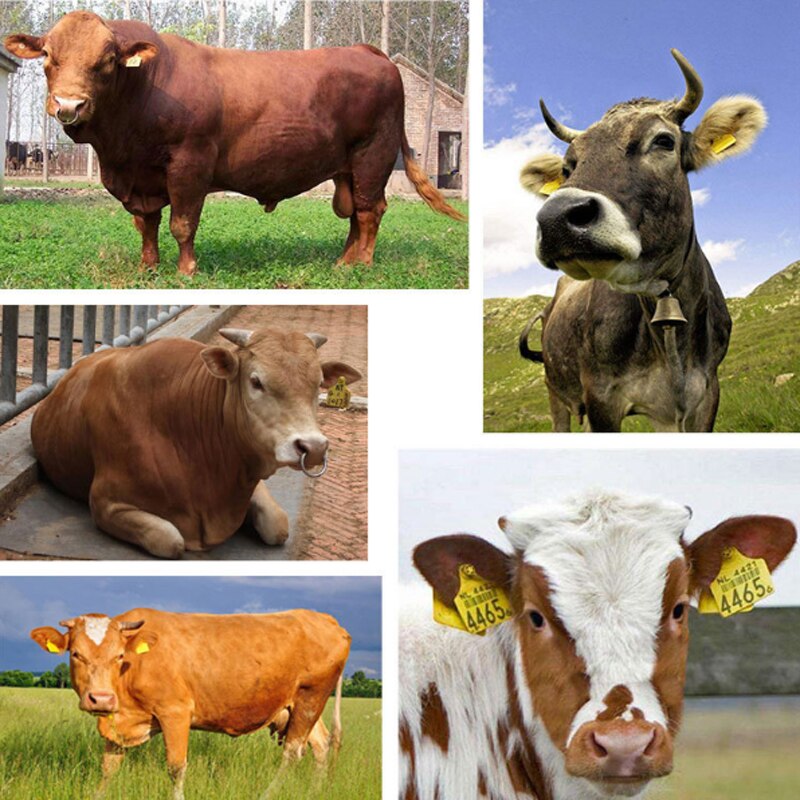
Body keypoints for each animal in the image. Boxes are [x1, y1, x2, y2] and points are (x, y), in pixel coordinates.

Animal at [4, 11, 464, 276]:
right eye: (48, 57)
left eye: (108, 60)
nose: (69, 104)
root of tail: (371, 51)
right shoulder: (141, 178)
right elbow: (146, 224)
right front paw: (147, 267)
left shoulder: (190, 161)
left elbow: (182, 223)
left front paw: (186, 270)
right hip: (347, 167)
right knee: (353, 213)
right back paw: (344, 260)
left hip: (374, 154)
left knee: (370, 211)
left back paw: (361, 265)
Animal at [30, 326, 361, 558]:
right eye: (256, 381)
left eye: (318, 385)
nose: (314, 447)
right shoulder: (105, 502)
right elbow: (171, 540)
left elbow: (278, 525)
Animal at [31, 607, 350, 799]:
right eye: (75, 654)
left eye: (119, 656)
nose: (101, 698)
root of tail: (328, 620)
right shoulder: (118, 721)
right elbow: (108, 767)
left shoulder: (175, 712)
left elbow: (176, 767)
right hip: (297, 705)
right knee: (320, 745)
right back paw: (314, 792)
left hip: (311, 697)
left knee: (293, 752)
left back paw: (268, 794)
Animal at [517, 50, 766, 431]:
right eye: (568, 166)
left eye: (663, 141)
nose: (556, 218)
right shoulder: (601, 397)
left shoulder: (704, 395)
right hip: (555, 388)